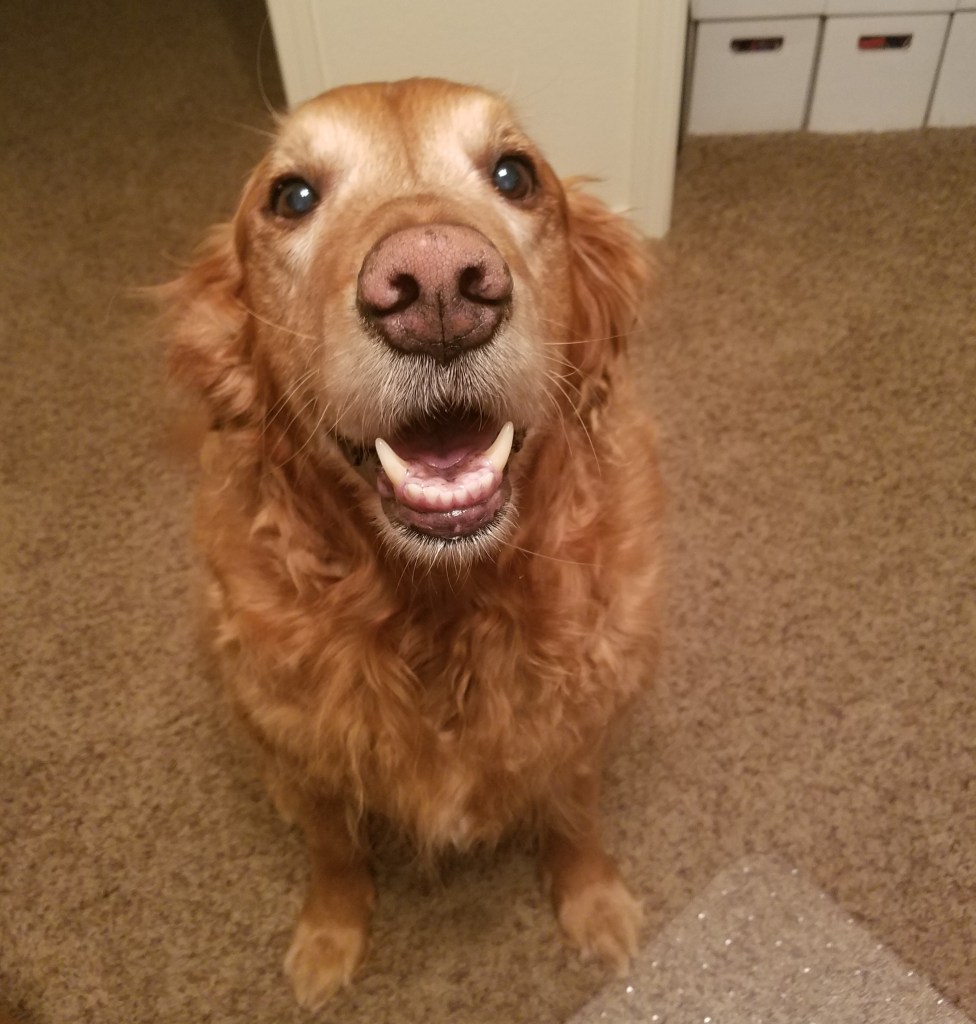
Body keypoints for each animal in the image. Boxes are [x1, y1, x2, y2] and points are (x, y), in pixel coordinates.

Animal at [164, 77, 662, 1009]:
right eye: (292, 196)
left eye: (514, 174)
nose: (437, 285)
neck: (443, 608)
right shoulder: (307, 755)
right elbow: (332, 851)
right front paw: (330, 937)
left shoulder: (579, 724)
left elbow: (573, 817)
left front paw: (594, 903)